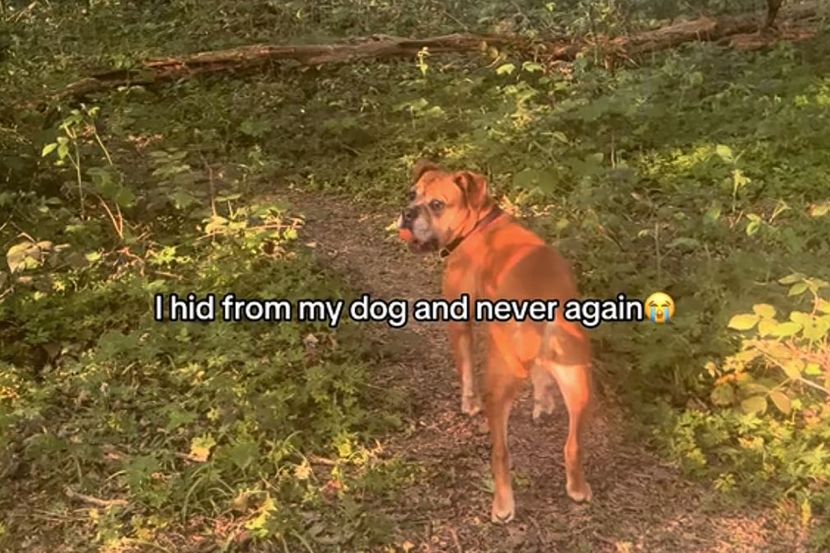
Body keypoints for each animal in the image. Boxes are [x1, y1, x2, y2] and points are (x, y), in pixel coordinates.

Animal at [397, 160, 593, 523]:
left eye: (437, 205)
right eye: (411, 194)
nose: (407, 212)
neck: (479, 224)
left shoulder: (459, 321)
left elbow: (465, 371)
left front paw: (468, 404)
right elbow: (541, 377)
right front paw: (543, 404)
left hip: (499, 382)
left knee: (501, 453)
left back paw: (502, 505)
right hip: (579, 385)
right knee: (573, 444)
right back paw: (576, 487)